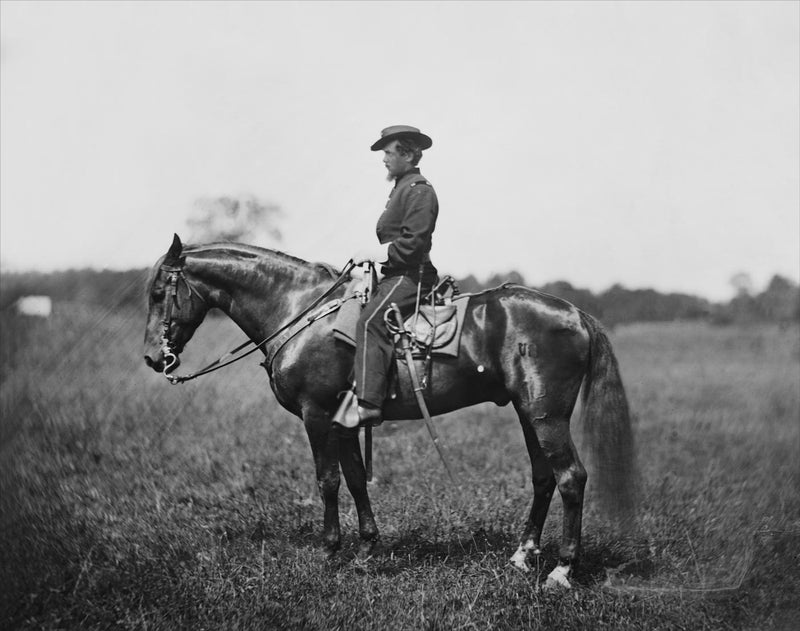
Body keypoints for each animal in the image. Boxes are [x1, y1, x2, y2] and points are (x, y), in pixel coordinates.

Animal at [141, 235, 636, 592]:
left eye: (160, 292)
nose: (152, 358)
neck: (300, 313)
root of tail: (575, 313)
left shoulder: (316, 414)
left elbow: (327, 481)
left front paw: (329, 553)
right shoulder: (343, 422)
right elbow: (357, 479)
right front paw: (366, 550)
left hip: (546, 414)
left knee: (571, 477)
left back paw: (562, 571)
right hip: (529, 412)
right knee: (543, 476)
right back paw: (522, 556)